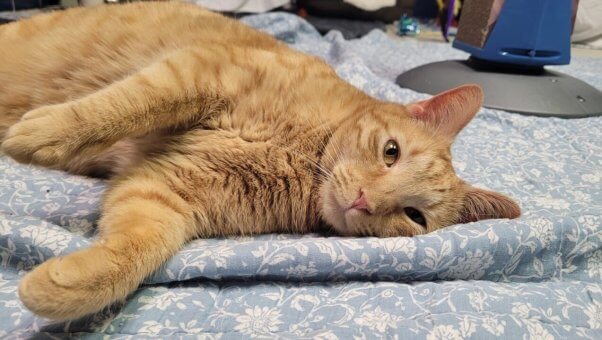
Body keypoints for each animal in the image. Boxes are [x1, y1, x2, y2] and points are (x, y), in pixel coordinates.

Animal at [0, 1, 516, 320]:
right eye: (391, 152)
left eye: (414, 216)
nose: (365, 200)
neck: (304, 157)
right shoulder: (195, 72)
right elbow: (117, 108)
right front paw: (40, 133)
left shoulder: (163, 195)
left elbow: (134, 254)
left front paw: (60, 287)